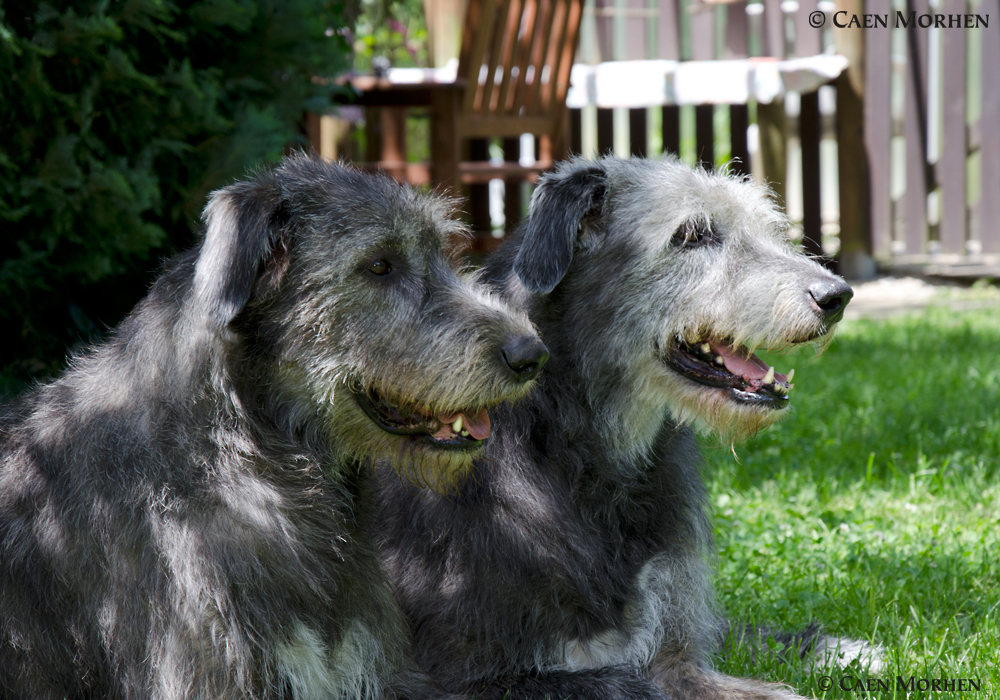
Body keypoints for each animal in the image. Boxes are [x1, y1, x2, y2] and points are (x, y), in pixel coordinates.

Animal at [372, 157, 856, 700]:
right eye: (692, 235)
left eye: (769, 228)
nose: (837, 295)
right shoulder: (452, 677)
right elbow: (631, 683)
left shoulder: (675, 644)